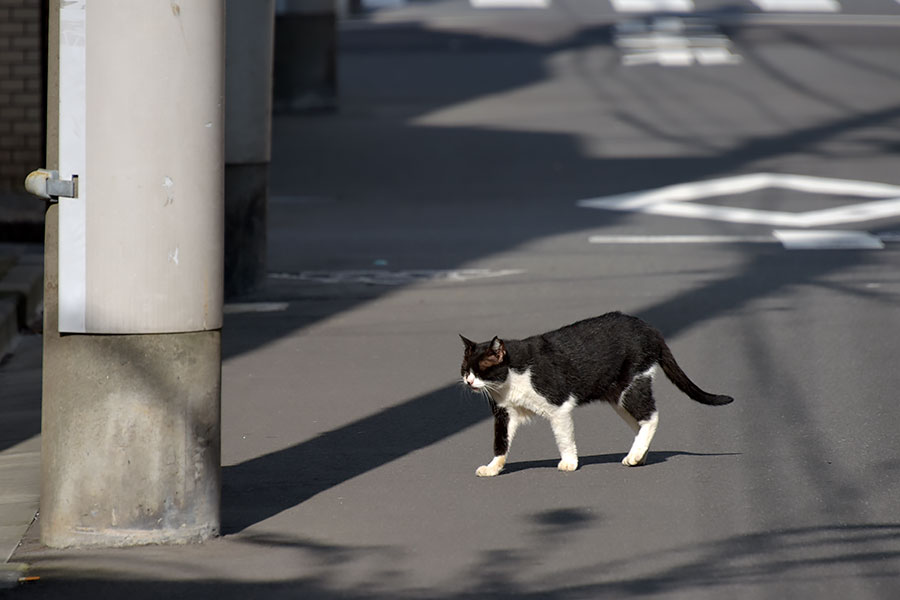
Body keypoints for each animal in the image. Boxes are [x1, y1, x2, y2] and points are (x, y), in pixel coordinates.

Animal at [460, 312, 736, 476]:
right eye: (464, 370)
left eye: (481, 370)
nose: (469, 381)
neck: (510, 379)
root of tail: (649, 328)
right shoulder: (505, 413)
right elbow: (500, 442)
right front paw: (493, 467)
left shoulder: (558, 406)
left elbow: (564, 438)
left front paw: (569, 462)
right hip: (618, 397)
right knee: (641, 423)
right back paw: (638, 455)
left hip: (631, 386)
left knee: (651, 417)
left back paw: (634, 455)